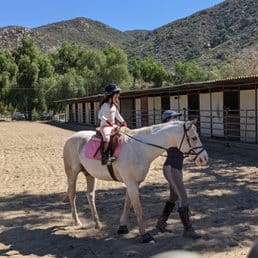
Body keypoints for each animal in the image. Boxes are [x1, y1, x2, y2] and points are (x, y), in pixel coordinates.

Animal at [63, 120, 210, 243]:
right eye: (194, 138)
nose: (204, 159)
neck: (140, 148)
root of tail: (71, 138)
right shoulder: (131, 183)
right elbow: (138, 208)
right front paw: (145, 235)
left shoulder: (133, 182)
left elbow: (128, 204)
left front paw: (122, 227)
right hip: (72, 174)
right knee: (72, 195)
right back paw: (77, 221)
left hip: (89, 175)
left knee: (90, 195)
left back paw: (97, 223)